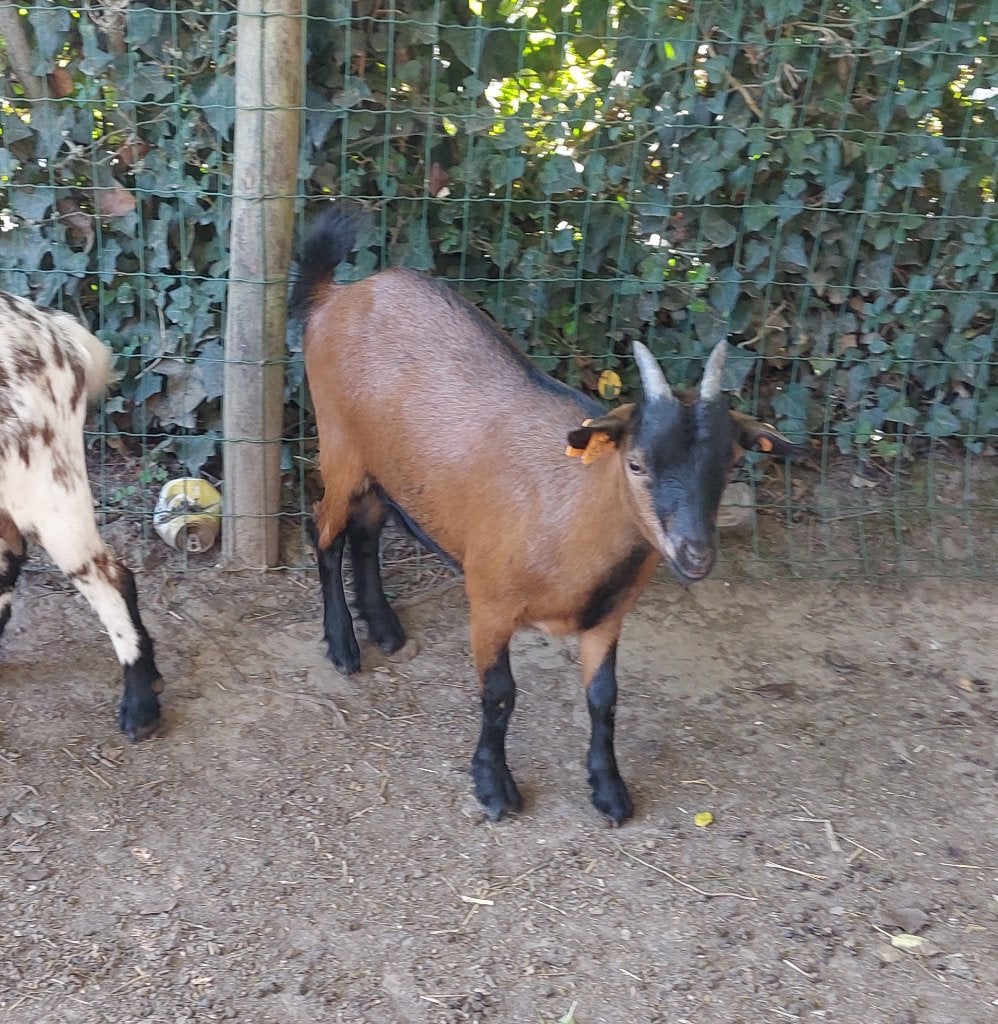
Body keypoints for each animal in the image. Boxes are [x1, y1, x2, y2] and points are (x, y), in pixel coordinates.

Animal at [294, 206, 803, 824]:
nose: (695, 554)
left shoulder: (609, 616)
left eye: (729, 461)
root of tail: (336, 297)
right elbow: (500, 695)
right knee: (325, 531)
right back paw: (344, 646)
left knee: (367, 529)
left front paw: (608, 789)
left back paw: (386, 628)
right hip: (339, 446)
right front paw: (494, 787)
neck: (568, 519)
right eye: (636, 463)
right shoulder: (488, 603)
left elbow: (605, 698)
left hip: (384, 466)